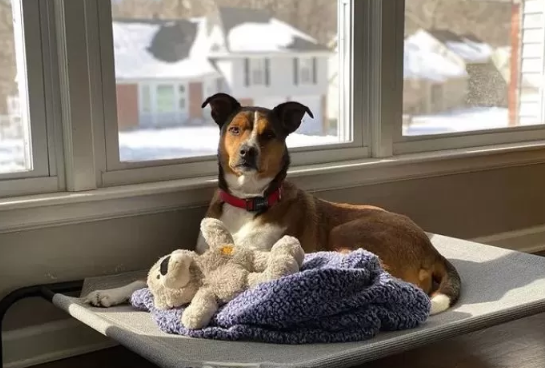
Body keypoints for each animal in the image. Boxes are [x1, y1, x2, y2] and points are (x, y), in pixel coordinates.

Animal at [85, 93, 460, 314]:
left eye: (269, 135)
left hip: (349, 231)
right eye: (235, 129)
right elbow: (142, 279)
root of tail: (431, 248)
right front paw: (109, 293)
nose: (247, 152)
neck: (248, 200)